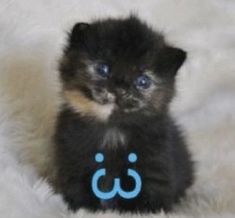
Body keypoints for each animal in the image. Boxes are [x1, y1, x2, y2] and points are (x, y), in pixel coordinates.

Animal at [54, 16, 194, 214]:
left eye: (142, 81)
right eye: (103, 69)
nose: (120, 88)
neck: (112, 130)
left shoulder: (155, 166)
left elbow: (151, 193)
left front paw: (145, 211)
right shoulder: (74, 163)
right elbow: (79, 192)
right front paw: (87, 210)